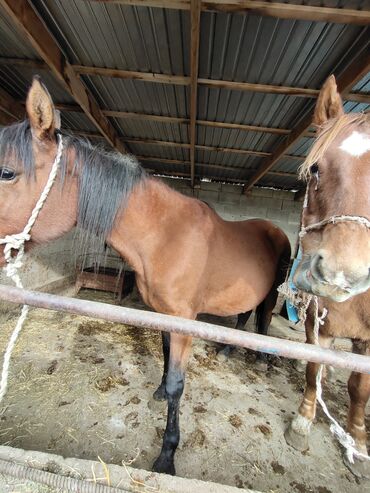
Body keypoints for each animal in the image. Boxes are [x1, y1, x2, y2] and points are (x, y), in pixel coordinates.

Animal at [0, 79, 292, 474]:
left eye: (7, 172)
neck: (166, 235)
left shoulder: (183, 321)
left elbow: (178, 383)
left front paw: (167, 455)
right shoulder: (160, 313)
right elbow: (166, 359)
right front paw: (158, 392)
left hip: (273, 292)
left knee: (263, 318)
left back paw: (260, 357)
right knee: (245, 313)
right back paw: (229, 348)